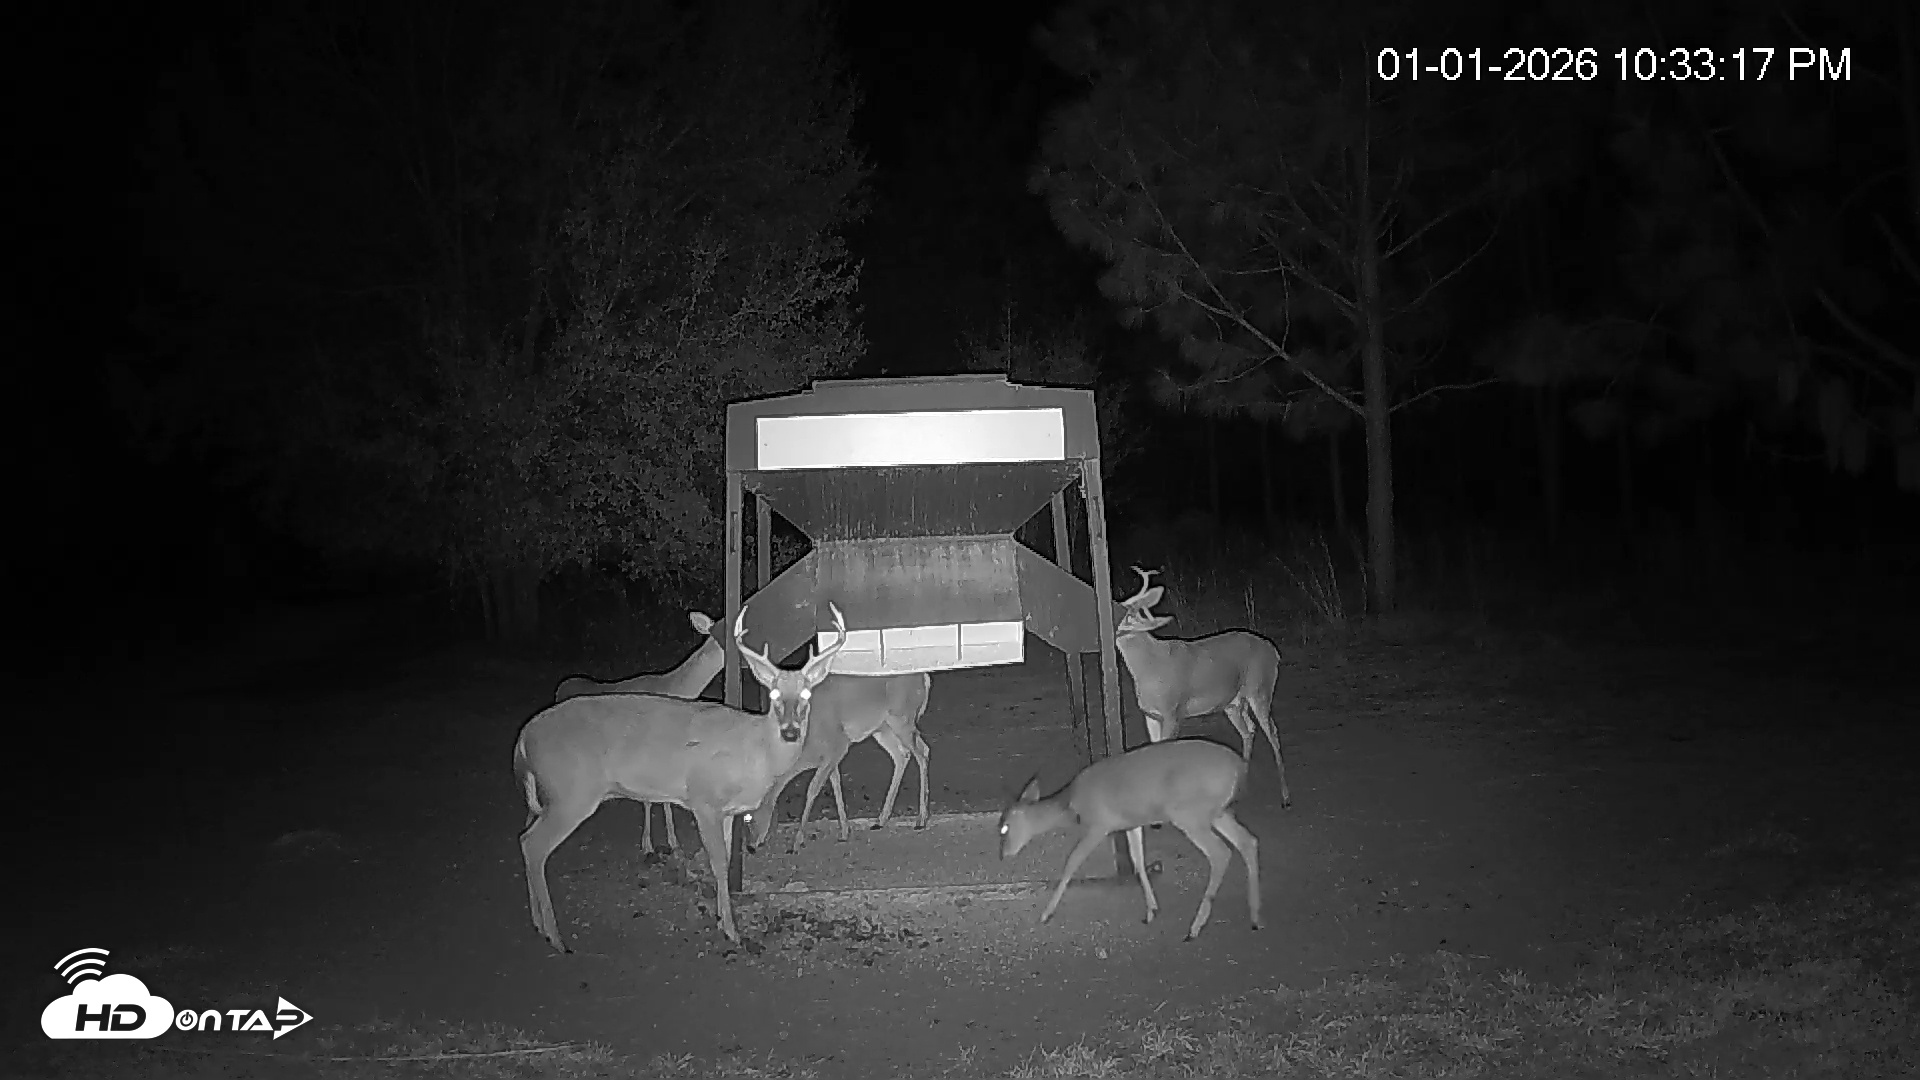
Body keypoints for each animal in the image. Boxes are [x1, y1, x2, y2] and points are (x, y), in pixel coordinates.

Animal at [746, 670, 932, 853]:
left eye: (750, 816)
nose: (750, 846)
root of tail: (925, 678)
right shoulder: (831, 757)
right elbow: (836, 785)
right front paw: (844, 832)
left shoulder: (839, 744)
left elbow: (812, 789)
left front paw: (796, 843)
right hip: (883, 729)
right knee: (902, 755)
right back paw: (881, 820)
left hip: (902, 719)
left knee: (922, 752)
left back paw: (921, 820)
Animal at [998, 738, 1261, 941]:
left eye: (1004, 827)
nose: (1003, 854)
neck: (1072, 806)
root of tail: (1239, 768)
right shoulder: (1131, 823)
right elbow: (1138, 860)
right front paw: (1151, 911)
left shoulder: (1099, 824)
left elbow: (1072, 862)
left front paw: (1046, 914)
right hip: (1218, 812)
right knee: (1248, 841)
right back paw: (1255, 916)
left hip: (1189, 813)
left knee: (1220, 852)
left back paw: (1195, 928)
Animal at [1115, 566, 1290, 808]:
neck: (1148, 667)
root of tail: (1274, 652)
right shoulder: (1150, 714)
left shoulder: (1173, 712)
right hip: (1233, 703)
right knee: (1249, 729)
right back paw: (1240, 787)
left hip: (1261, 689)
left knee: (1272, 731)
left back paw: (1285, 797)